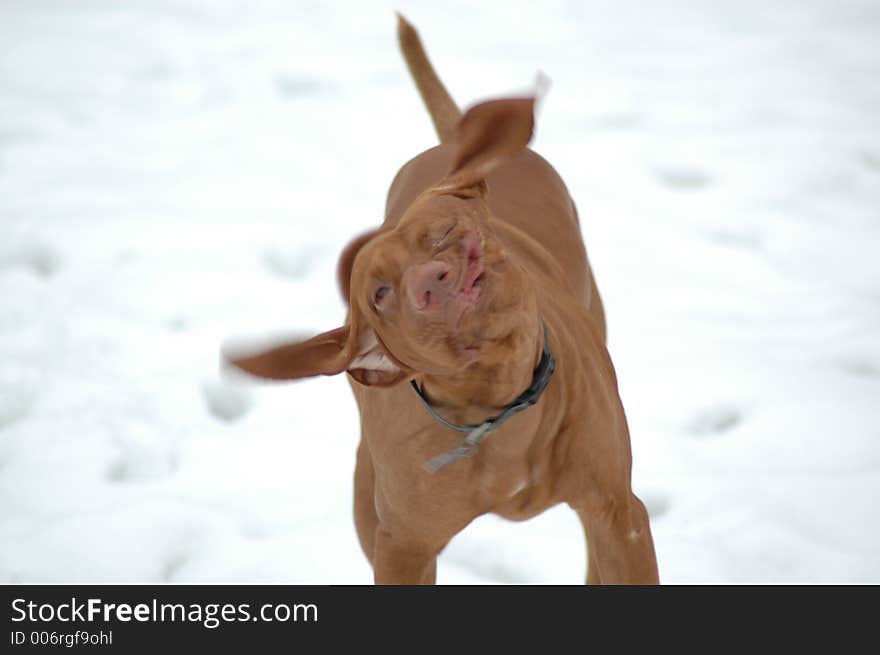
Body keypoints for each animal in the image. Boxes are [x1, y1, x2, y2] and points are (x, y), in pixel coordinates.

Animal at [227, 15, 660, 584]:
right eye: (380, 293)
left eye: (442, 234)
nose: (430, 282)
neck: (495, 411)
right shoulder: (403, 547)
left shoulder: (617, 514)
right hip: (367, 503)